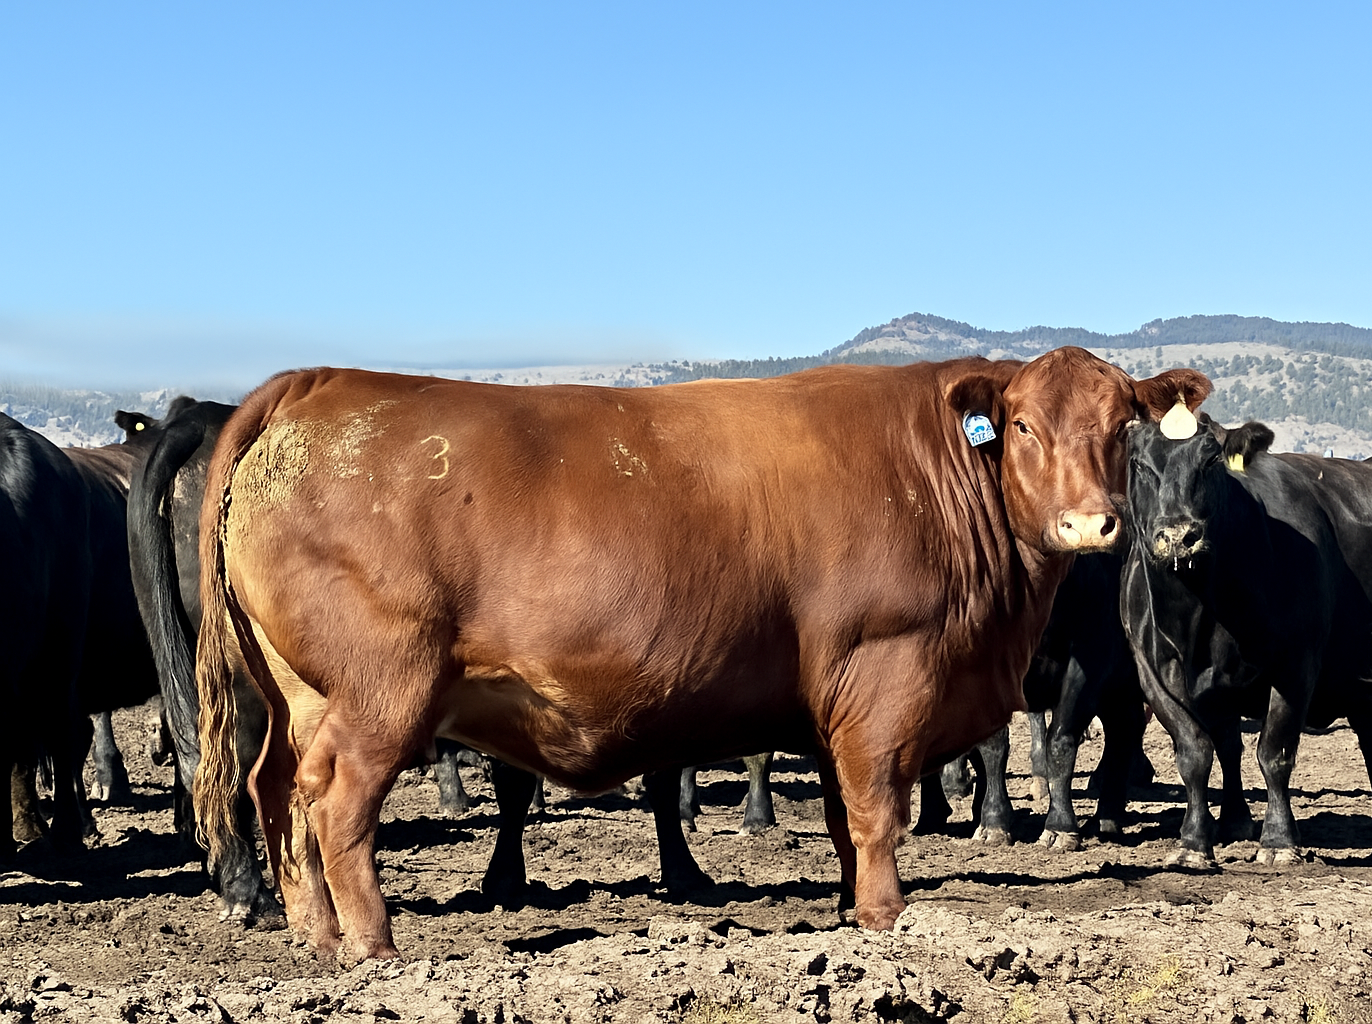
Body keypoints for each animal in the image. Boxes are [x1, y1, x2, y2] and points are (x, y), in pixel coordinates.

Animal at [193, 351, 1209, 960]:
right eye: (1026, 425)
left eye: (1120, 426)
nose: (1090, 523)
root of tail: (324, 382)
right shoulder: (886, 675)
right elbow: (878, 809)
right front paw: (888, 922)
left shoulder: (828, 704)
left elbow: (842, 819)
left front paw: (851, 912)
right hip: (380, 695)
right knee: (337, 806)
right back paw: (373, 947)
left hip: (295, 698)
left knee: (278, 792)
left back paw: (316, 934)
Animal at [1122, 414, 1372, 868]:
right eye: (1140, 464)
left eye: (1211, 461)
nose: (1179, 535)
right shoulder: (1153, 673)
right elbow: (1199, 751)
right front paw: (1196, 840)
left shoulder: (1296, 665)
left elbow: (1274, 751)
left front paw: (1278, 841)